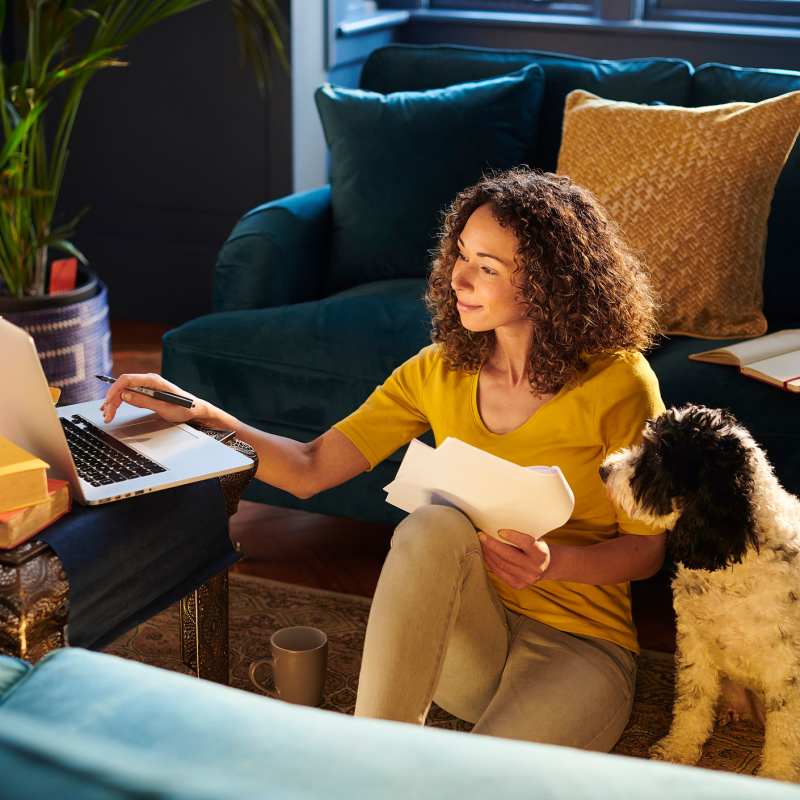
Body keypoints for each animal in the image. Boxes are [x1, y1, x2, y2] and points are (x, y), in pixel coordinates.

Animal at [600, 406, 800, 780]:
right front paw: (677, 750)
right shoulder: (695, 640)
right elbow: (692, 702)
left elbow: (784, 737)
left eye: (657, 457)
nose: (604, 470)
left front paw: (776, 778)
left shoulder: (786, 668)